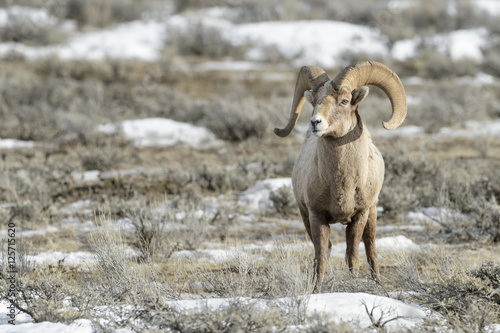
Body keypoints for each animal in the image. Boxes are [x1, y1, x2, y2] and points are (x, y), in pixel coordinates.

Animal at [276, 61, 408, 292]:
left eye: (344, 101)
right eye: (315, 101)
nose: (315, 123)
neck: (342, 184)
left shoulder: (360, 215)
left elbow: (353, 257)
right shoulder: (316, 216)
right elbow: (321, 257)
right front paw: (316, 291)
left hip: (372, 214)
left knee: (371, 250)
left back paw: (379, 285)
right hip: (305, 217)